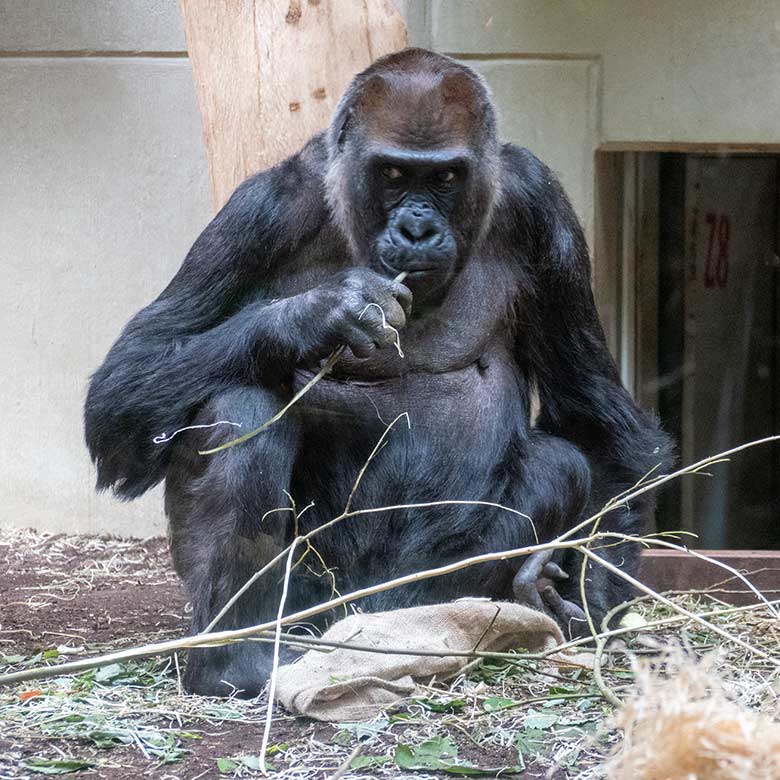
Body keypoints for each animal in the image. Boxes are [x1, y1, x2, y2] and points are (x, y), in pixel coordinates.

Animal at [84, 48, 672, 696]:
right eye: (392, 174)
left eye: (445, 178)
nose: (417, 228)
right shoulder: (260, 209)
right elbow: (124, 394)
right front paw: (318, 315)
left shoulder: (540, 205)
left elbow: (600, 426)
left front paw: (588, 602)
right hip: (316, 601)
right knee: (238, 406)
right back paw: (230, 658)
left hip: (387, 598)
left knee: (557, 466)